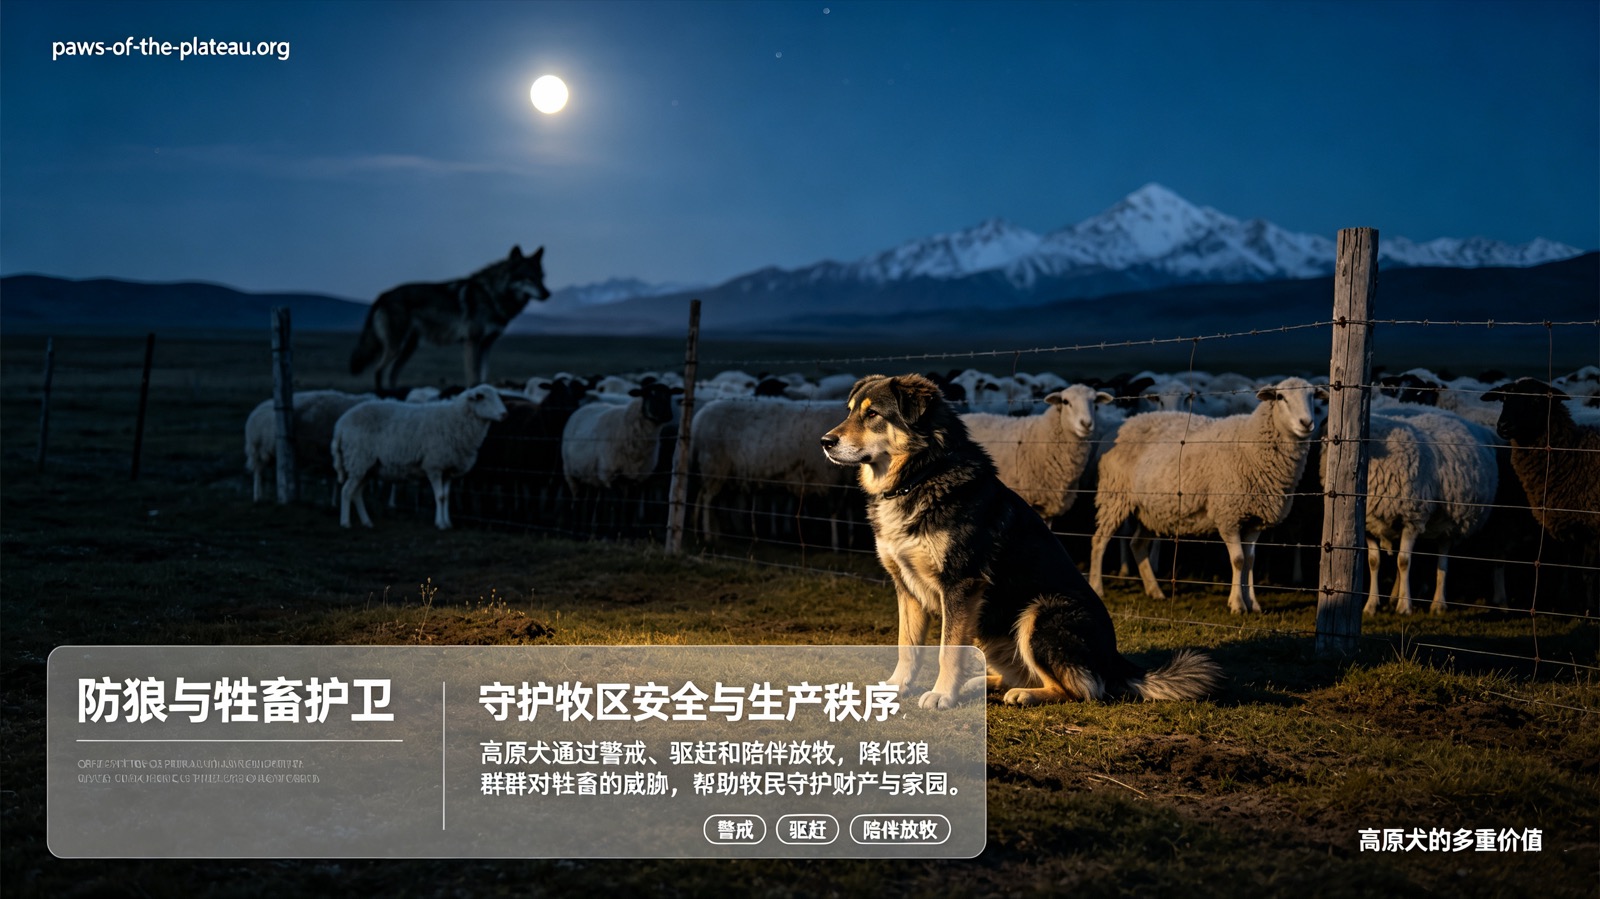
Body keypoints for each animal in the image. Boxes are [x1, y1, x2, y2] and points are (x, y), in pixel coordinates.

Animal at [350, 245, 551, 389]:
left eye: (542, 277)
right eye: (528, 278)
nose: (547, 293)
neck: (491, 295)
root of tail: (382, 295)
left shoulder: (487, 344)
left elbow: (483, 374)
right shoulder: (472, 341)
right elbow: (473, 376)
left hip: (408, 348)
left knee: (392, 373)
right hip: (396, 347)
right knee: (379, 370)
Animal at [820, 373, 1223, 709]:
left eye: (873, 415)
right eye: (851, 411)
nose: (825, 442)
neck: (922, 475)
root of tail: (1114, 661)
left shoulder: (961, 585)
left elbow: (947, 650)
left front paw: (942, 695)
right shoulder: (906, 585)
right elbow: (908, 647)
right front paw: (897, 687)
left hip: (1039, 614)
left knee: (1085, 690)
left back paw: (1024, 694)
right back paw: (982, 684)